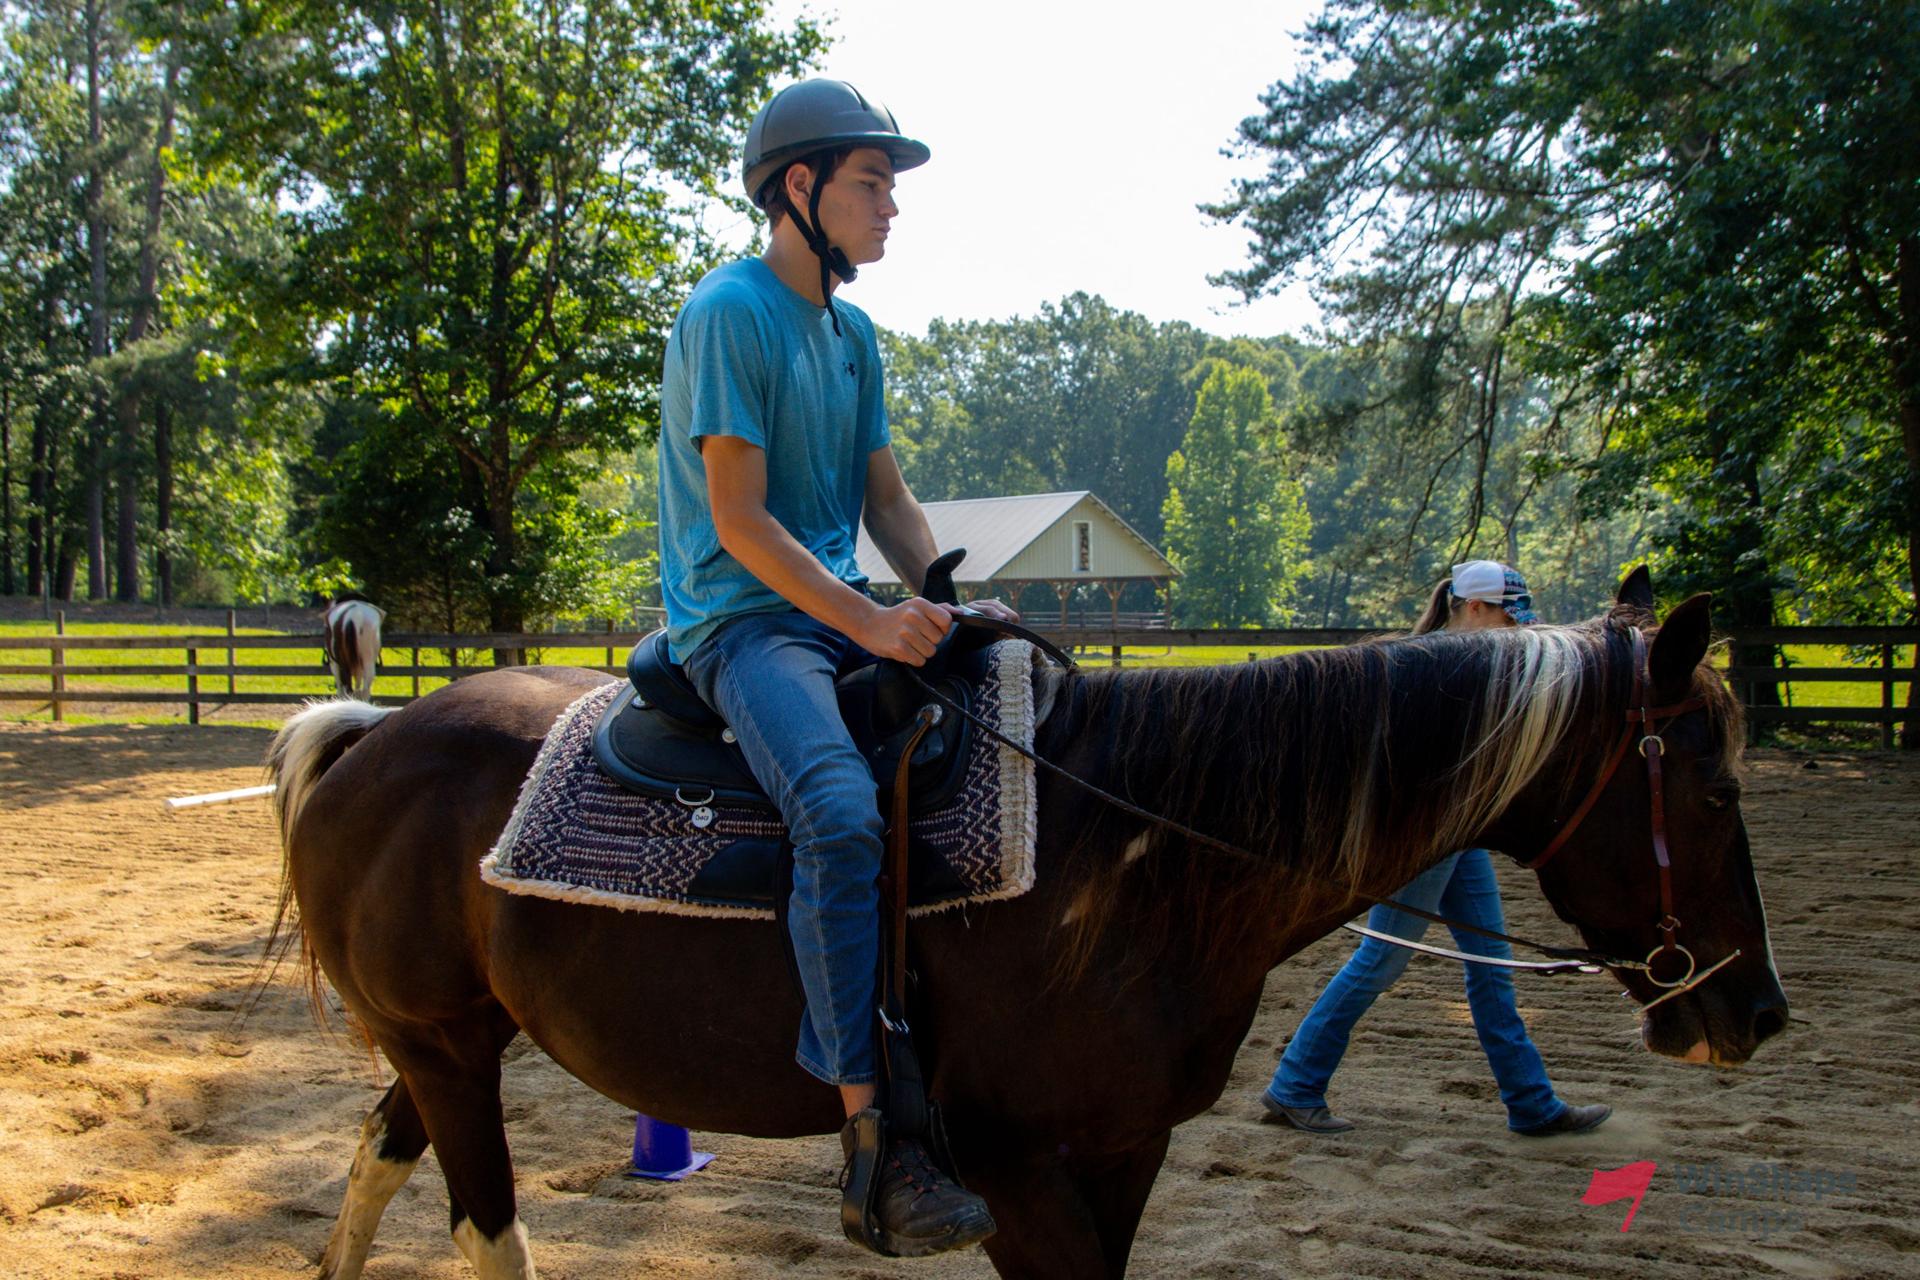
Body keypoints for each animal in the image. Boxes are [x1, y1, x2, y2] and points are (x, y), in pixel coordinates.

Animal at [264, 571, 1788, 1279]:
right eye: (1715, 784)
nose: (1756, 1009)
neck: (1138, 849)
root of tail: (374, 734)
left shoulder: (1120, 1150)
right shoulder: (1008, 1168)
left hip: (454, 1045)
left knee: (378, 1156)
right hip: (447, 1048)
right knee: (485, 1227)